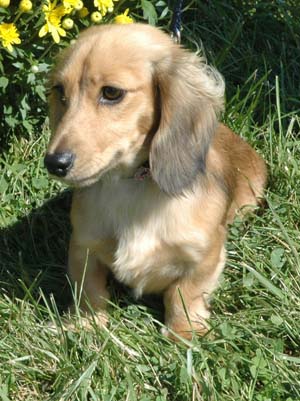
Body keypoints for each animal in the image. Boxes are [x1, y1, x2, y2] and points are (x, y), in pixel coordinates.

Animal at [44, 23, 268, 340]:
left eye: (111, 93)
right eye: (60, 92)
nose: (54, 163)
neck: (132, 186)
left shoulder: (206, 255)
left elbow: (184, 294)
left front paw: (184, 334)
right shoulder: (83, 246)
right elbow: (90, 290)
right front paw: (86, 324)